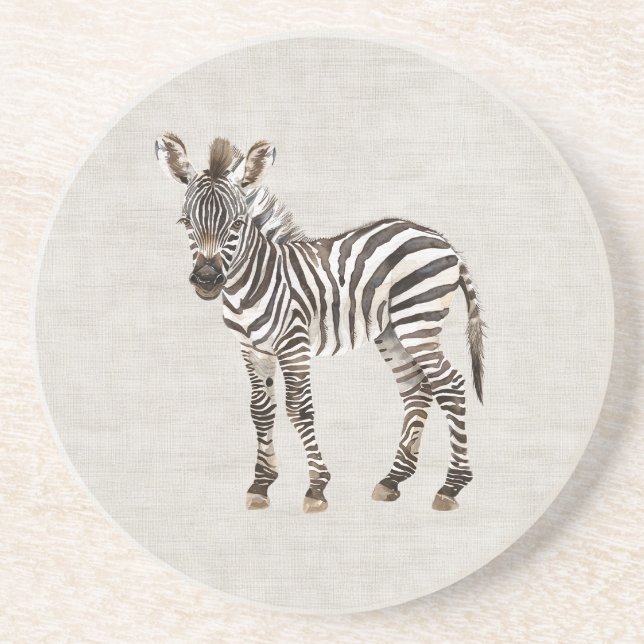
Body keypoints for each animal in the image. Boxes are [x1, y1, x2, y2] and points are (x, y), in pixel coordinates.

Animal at [155, 133, 485, 513]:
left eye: (237, 223)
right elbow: (260, 410)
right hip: (392, 331)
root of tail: (443, 240)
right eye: (185, 222)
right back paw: (393, 479)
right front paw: (261, 484)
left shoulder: (293, 344)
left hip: (417, 321)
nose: (207, 280)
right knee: (416, 390)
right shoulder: (252, 348)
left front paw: (316, 488)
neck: (252, 281)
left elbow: (299, 409)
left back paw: (451, 486)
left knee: (450, 384)